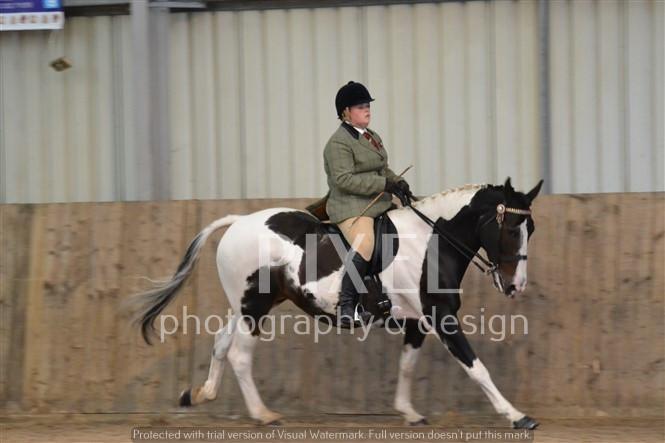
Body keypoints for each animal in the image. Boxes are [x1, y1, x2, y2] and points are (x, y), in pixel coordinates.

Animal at [132, 178, 544, 430]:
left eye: (532, 229)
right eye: (511, 229)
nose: (516, 285)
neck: (432, 240)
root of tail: (239, 221)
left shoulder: (417, 320)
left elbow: (407, 365)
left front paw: (408, 412)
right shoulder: (441, 317)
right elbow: (477, 368)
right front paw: (517, 416)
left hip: (244, 304)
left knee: (220, 343)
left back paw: (199, 394)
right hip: (255, 308)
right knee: (240, 356)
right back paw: (264, 415)